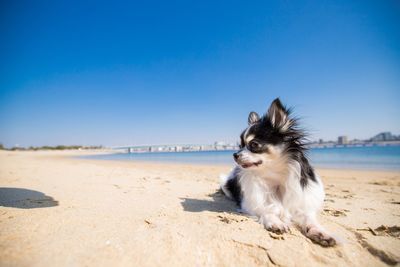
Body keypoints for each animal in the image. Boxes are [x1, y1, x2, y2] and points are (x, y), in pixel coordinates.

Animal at [220, 98, 336, 247]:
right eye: (240, 146)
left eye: (254, 144)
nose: (235, 154)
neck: (275, 176)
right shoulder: (250, 203)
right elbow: (266, 209)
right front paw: (275, 222)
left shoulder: (301, 203)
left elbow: (308, 217)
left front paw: (319, 232)